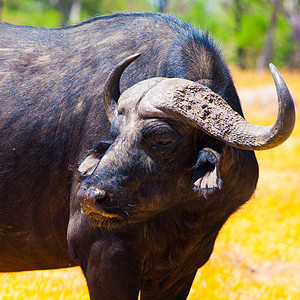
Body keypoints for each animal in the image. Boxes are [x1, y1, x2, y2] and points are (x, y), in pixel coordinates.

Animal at [0, 12, 296, 300]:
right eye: (115, 132)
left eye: (163, 139)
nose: (90, 196)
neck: (179, 217)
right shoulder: (104, 255)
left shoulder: (181, 269)